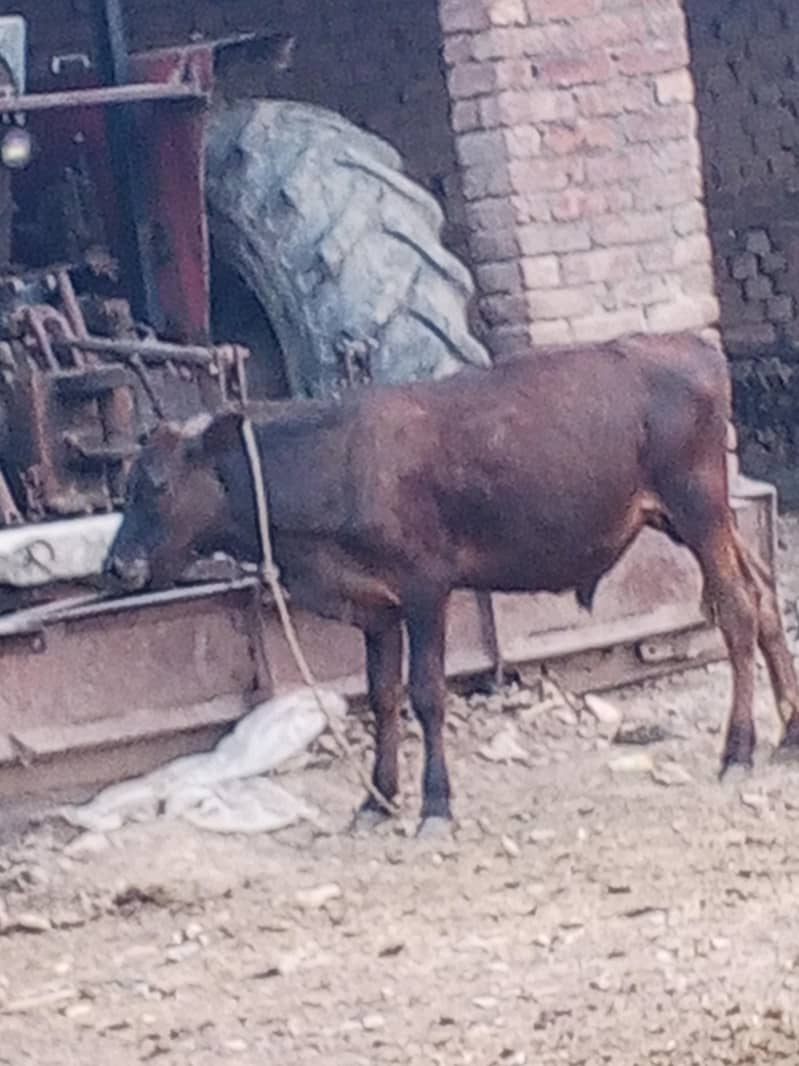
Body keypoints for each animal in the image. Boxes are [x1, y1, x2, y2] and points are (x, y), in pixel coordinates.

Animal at [105, 332, 799, 832]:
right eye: (128, 481)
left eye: (155, 484)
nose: (117, 566)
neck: (335, 465)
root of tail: (692, 345)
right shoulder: (375, 605)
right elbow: (382, 696)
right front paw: (377, 802)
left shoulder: (424, 586)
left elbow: (426, 694)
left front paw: (435, 806)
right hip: (690, 518)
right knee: (765, 594)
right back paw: (788, 736)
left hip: (698, 506)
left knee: (737, 610)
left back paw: (737, 751)